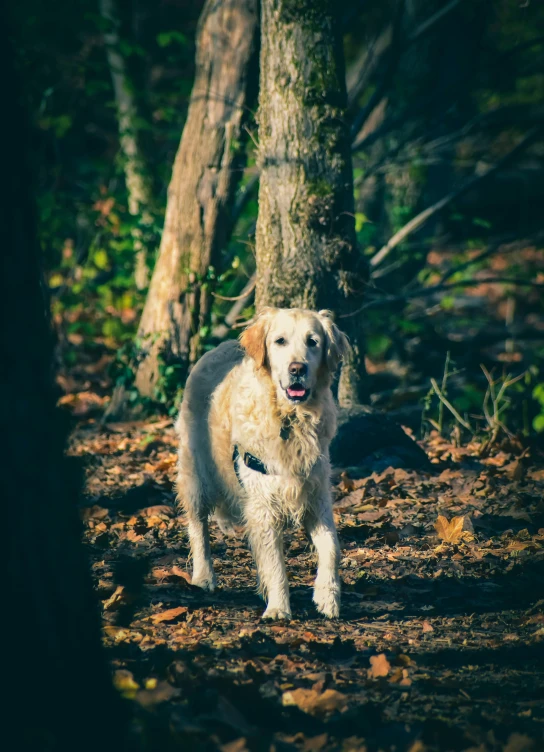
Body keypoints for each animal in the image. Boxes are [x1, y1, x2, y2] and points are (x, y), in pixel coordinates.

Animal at [176, 304, 350, 616]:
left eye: (313, 342)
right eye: (280, 341)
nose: (297, 369)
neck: (290, 420)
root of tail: (217, 347)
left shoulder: (316, 496)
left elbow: (331, 546)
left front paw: (327, 597)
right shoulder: (263, 501)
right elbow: (276, 563)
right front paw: (279, 609)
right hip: (195, 474)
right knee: (198, 527)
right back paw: (203, 576)